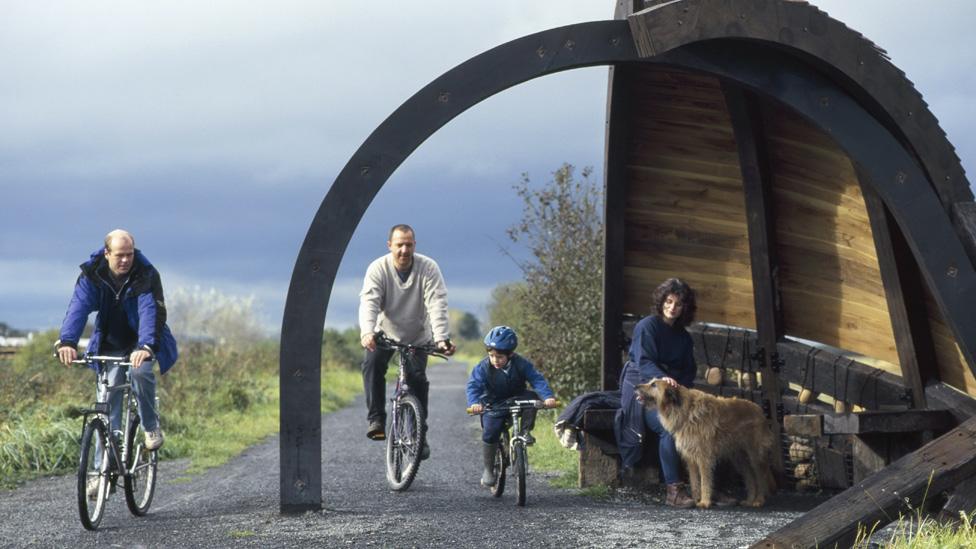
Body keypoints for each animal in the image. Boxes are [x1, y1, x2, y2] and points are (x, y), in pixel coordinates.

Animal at [632, 378, 776, 508]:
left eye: (654, 385)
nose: (635, 386)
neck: (685, 411)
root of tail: (760, 411)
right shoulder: (690, 458)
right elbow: (695, 482)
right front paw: (696, 499)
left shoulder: (704, 458)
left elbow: (705, 481)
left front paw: (705, 502)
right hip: (740, 459)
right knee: (750, 477)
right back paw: (750, 500)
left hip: (754, 456)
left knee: (760, 477)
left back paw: (759, 500)